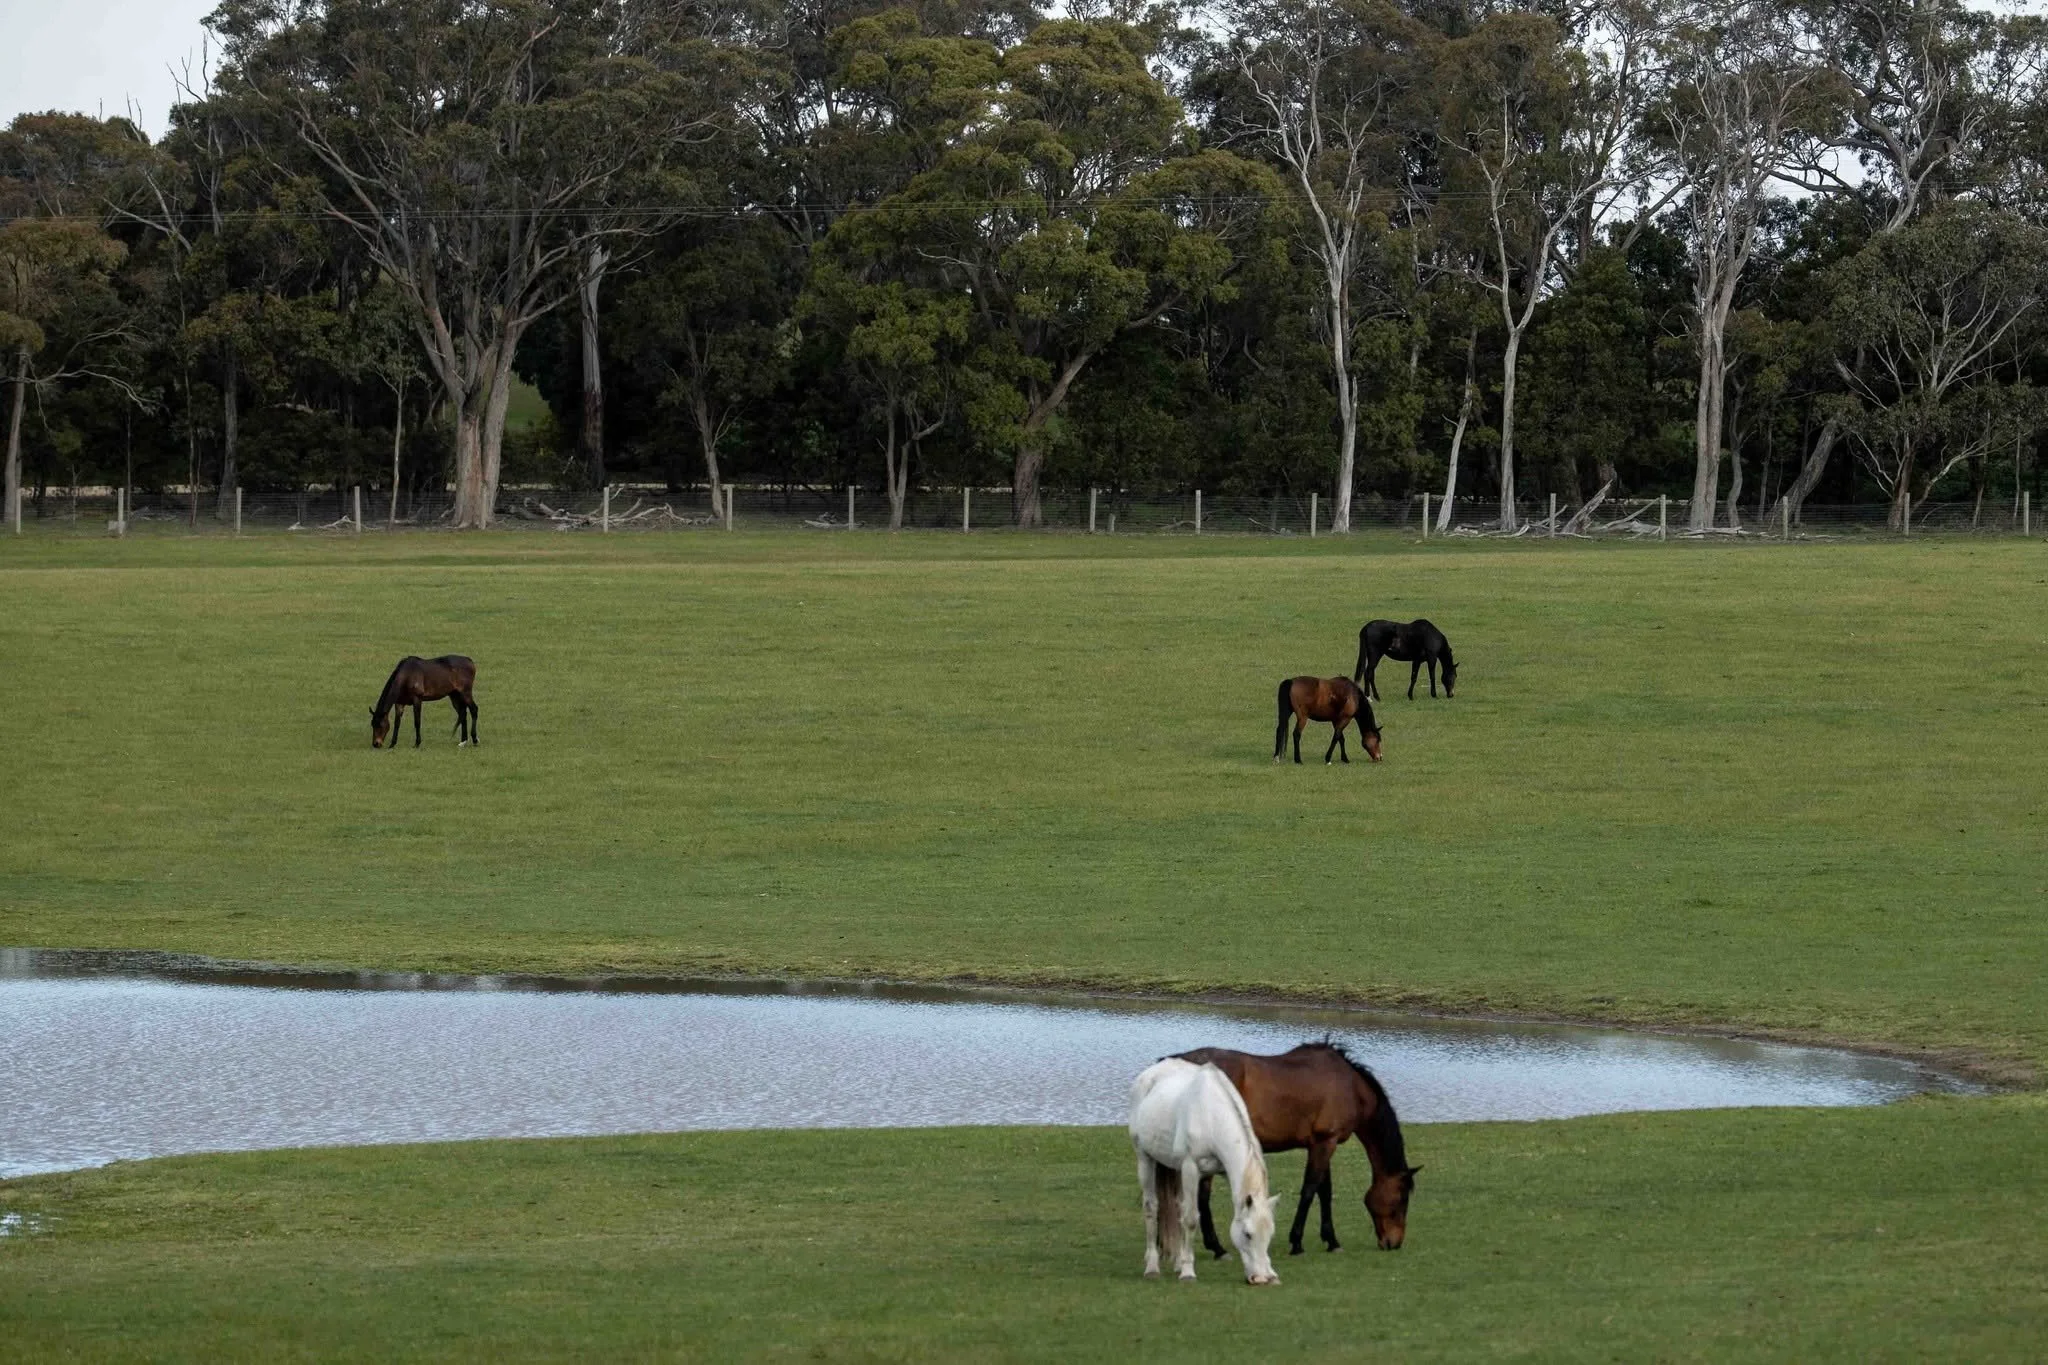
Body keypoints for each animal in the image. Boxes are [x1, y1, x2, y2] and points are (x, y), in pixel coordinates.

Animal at [1128, 1058, 1281, 1285]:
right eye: (1247, 1234)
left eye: (1270, 1234)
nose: (1261, 1278)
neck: (1211, 1115)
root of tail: (1148, 1074)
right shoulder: (1191, 1169)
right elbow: (1191, 1219)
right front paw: (1188, 1273)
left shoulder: (1220, 1171)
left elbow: (1185, 1215)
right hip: (1145, 1158)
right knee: (1151, 1207)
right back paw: (1152, 1267)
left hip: (1175, 1168)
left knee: (1177, 1208)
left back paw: (1177, 1261)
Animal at [1176, 1041, 1420, 1257]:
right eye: (1402, 1199)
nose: (1394, 1243)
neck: (1351, 1086)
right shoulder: (1325, 1142)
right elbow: (1310, 1190)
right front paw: (1297, 1243)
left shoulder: (1322, 1144)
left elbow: (1324, 1191)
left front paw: (1332, 1241)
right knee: (1202, 1197)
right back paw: (1217, 1249)